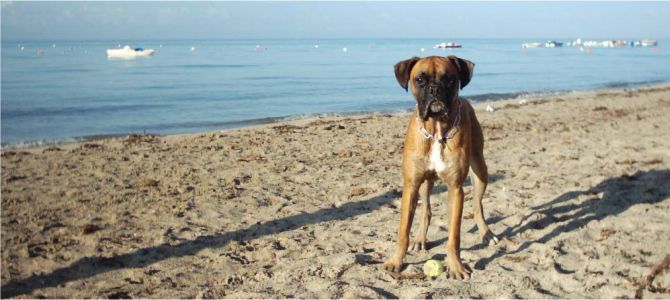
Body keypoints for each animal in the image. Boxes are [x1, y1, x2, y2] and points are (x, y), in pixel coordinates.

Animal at [384, 55, 498, 278]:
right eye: (420, 79)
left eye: (449, 79)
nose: (435, 90)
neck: (436, 131)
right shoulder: (411, 186)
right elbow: (403, 231)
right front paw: (396, 261)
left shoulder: (456, 188)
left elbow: (454, 235)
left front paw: (455, 266)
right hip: (425, 184)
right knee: (426, 211)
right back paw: (420, 239)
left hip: (480, 171)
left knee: (477, 205)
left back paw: (487, 233)